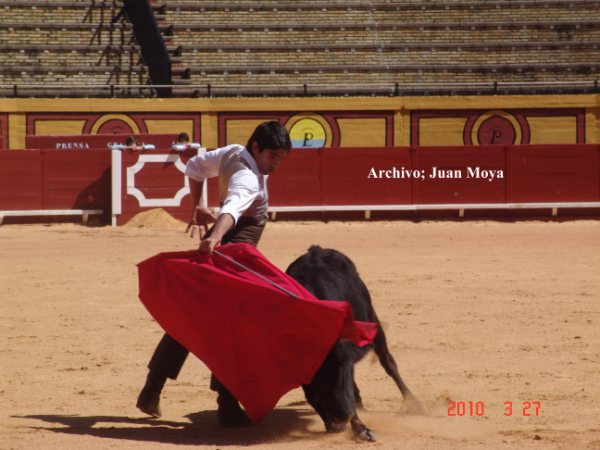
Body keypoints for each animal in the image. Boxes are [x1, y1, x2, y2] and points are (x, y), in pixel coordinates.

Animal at [285, 245, 422, 442]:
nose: (340, 417)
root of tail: (317, 249)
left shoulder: (343, 357)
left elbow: (347, 391)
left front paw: (360, 429)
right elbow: (313, 395)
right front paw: (334, 425)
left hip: (373, 318)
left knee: (388, 363)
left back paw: (415, 404)